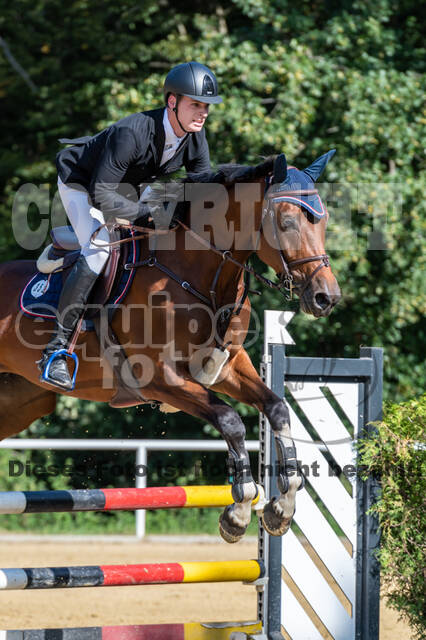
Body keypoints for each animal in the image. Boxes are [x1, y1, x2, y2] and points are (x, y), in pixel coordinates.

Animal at [0, 150, 341, 543]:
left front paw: (281, 508)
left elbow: (277, 408)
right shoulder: (159, 378)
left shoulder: (226, 367)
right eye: (286, 222)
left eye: (324, 221)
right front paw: (238, 513)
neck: (200, 275)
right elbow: (230, 420)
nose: (327, 298)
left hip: (17, 402)